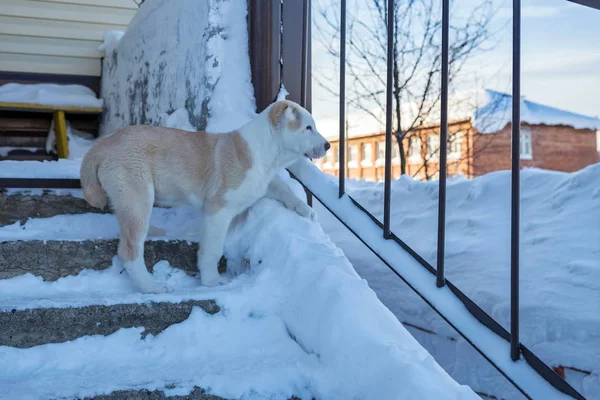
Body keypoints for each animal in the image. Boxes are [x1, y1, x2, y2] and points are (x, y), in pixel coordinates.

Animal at [81, 101, 328, 294]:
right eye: (308, 127)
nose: (327, 145)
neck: (265, 151)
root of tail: (102, 145)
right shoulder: (218, 209)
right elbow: (213, 249)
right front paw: (212, 282)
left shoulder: (260, 183)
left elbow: (282, 187)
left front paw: (306, 210)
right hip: (138, 196)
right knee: (130, 249)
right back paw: (150, 287)